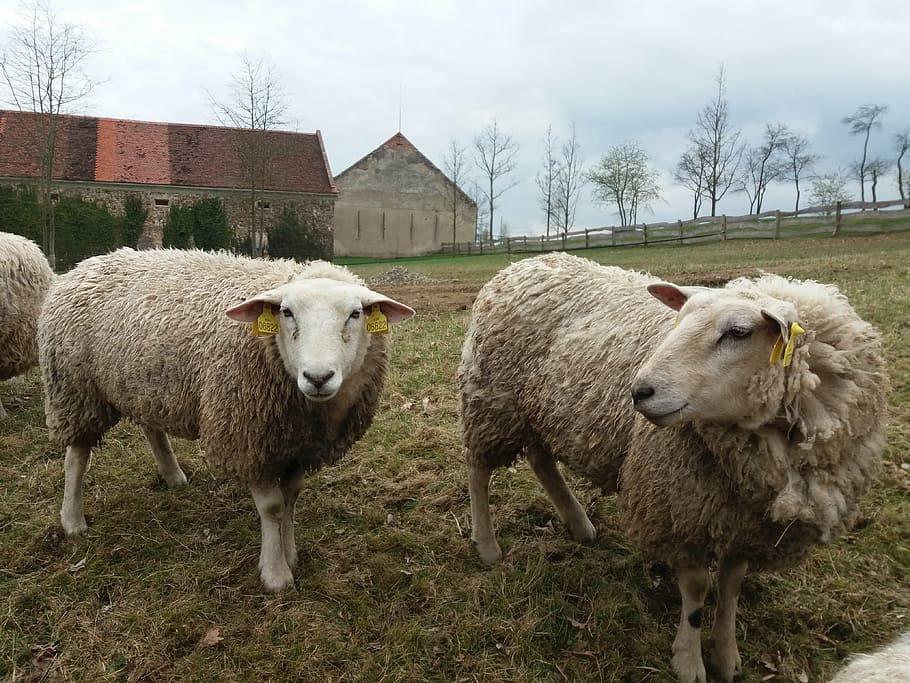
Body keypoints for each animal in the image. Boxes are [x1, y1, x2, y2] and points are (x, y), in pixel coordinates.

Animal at [39, 247, 414, 592]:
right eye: (286, 312)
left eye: (355, 314)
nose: (317, 377)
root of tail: (87, 264)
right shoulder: (248, 440)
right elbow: (272, 507)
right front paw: (275, 573)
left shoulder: (295, 445)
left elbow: (291, 499)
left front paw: (289, 552)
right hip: (75, 390)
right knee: (76, 457)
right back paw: (72, 519)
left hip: (145, 383)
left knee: (151, 426)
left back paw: (173, 475)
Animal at [458, 251, 887, 683]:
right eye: (680, 320)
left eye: (739, 332)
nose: (638, 391)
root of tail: (528, 262)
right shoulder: (679, 509)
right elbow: (696, 588)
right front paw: (689, 660)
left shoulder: (742, 519)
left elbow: (732, 584)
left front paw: (726, 655)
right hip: (492, 399)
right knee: (479, 470)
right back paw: (487, 545)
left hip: (536, 410)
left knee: (540, 458)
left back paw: (579, 524)